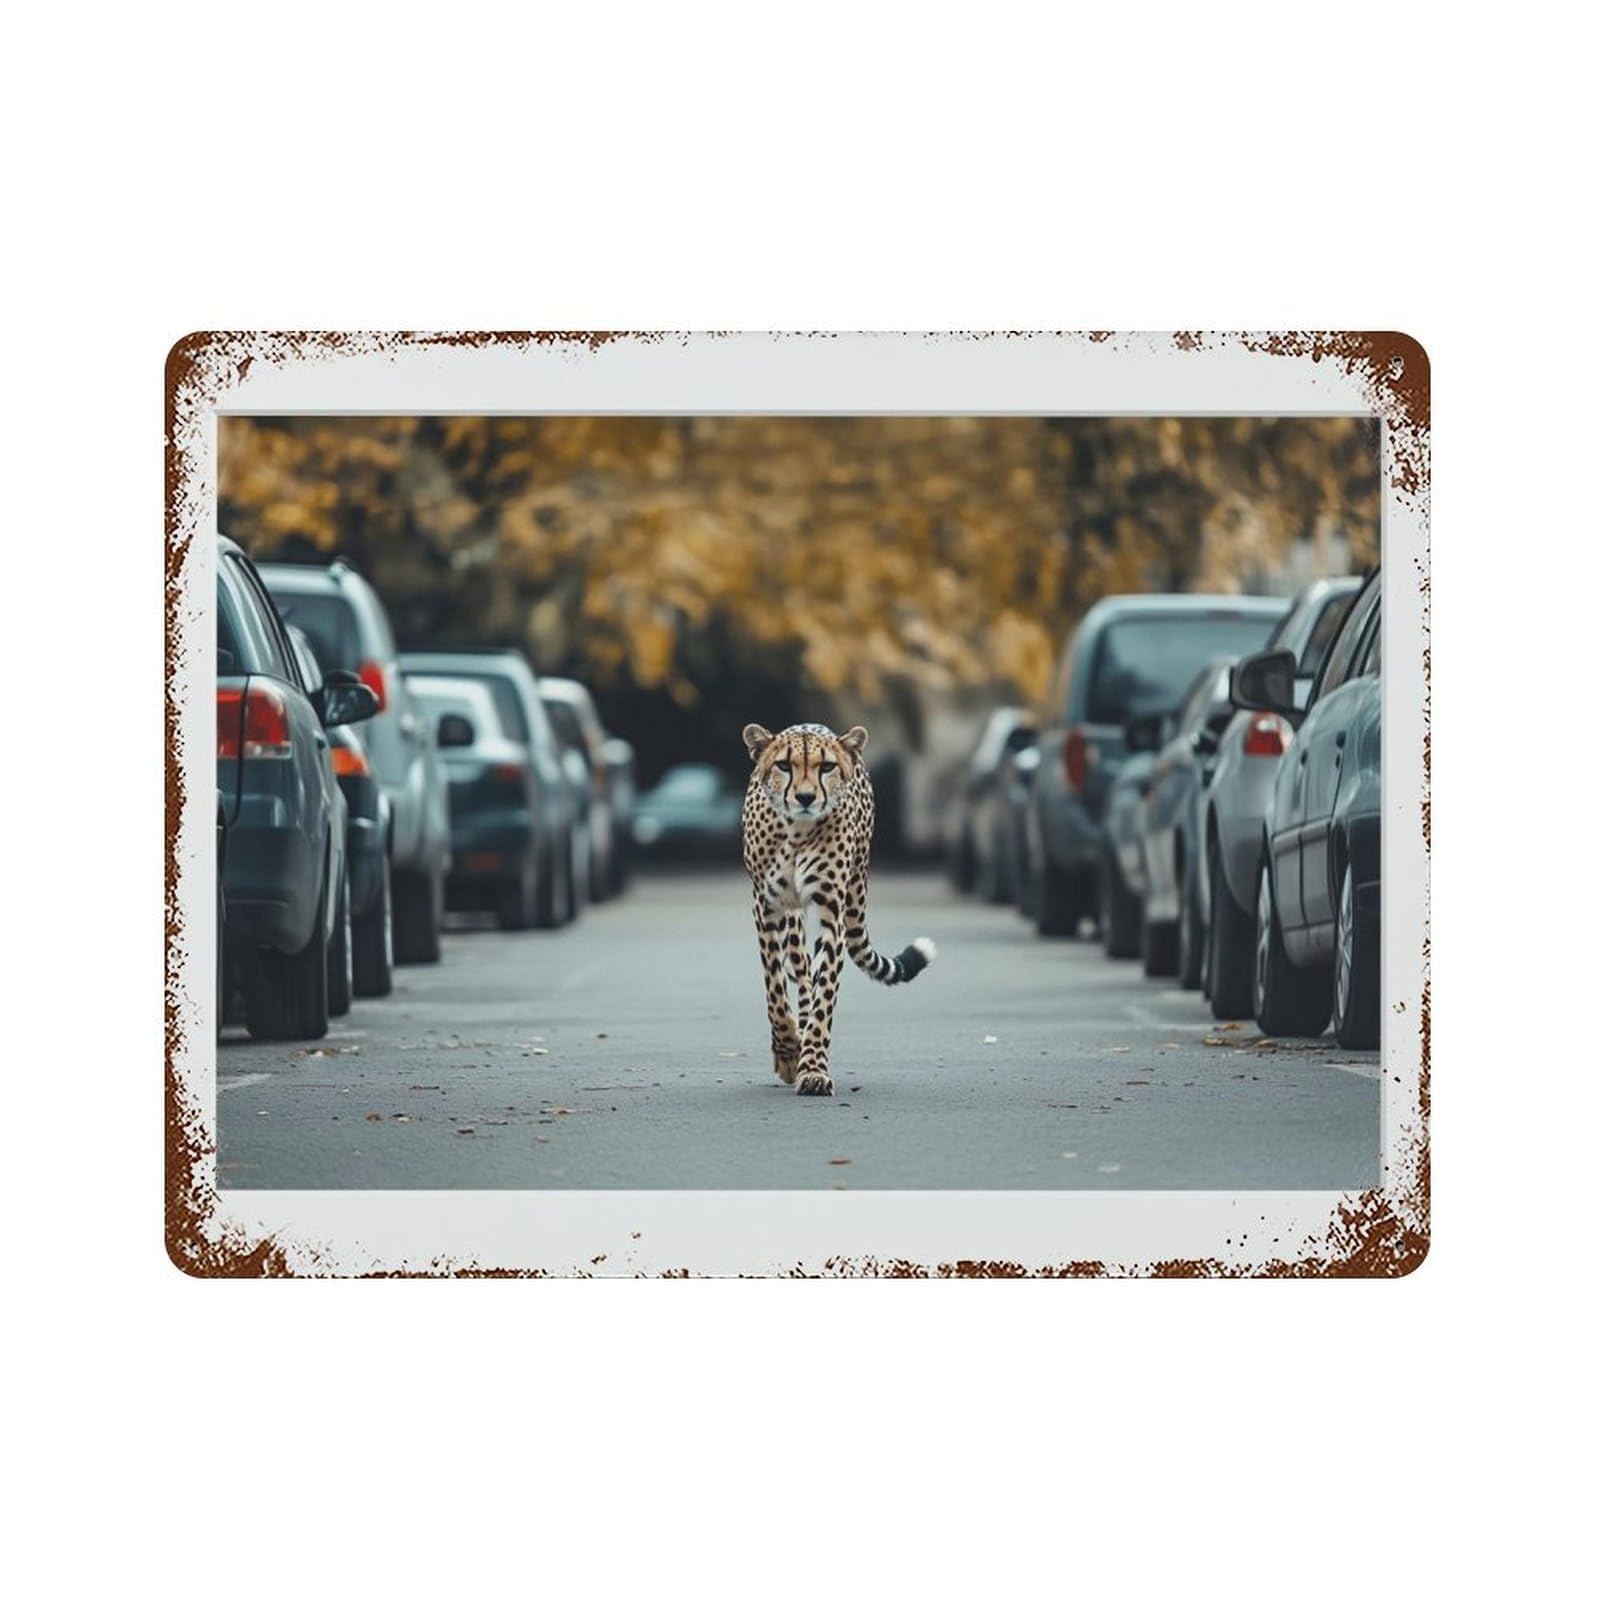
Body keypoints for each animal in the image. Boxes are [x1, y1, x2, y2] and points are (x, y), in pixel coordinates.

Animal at [741, 721, 936, 1096]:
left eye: (826, 767)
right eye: (783, 765)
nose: (805, 797)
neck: (796, 830)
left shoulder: (831, 912)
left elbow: (824, 996)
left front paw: (813, 1069)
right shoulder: (766, 905)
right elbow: (775, 987)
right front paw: (788, 1052)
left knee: (812, 980)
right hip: (792, 920)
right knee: (800, 973)